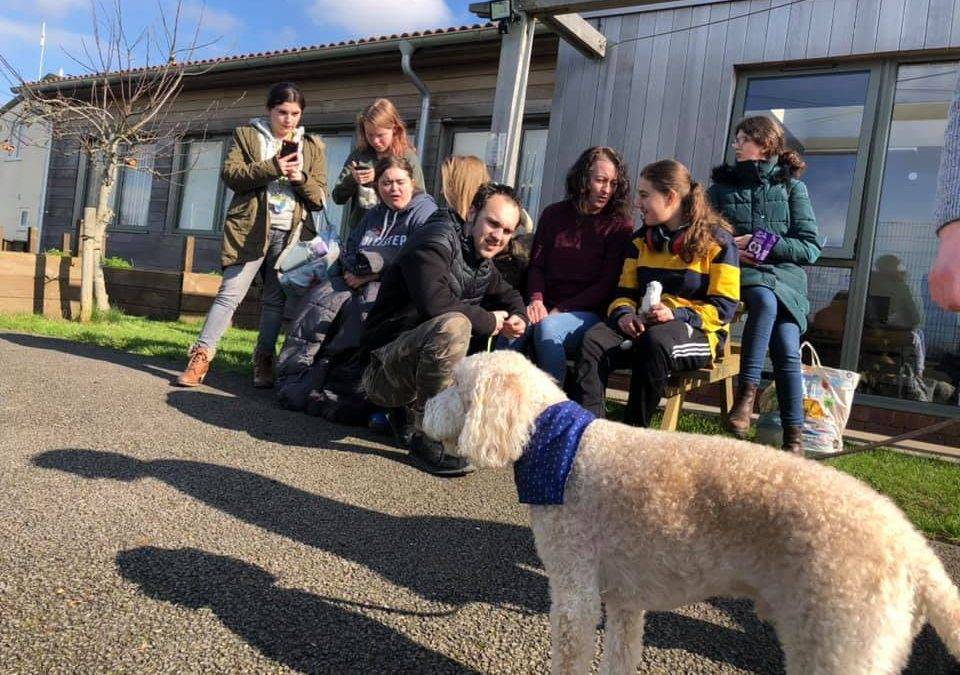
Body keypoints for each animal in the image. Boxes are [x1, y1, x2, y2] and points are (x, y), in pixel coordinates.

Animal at [424, 352, 960, 672]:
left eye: (455, 385)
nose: (423, 412)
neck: (562, 448)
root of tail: (915, 552)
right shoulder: (624, 599)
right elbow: (621, 652)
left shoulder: (574, 589)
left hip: (840, 639)